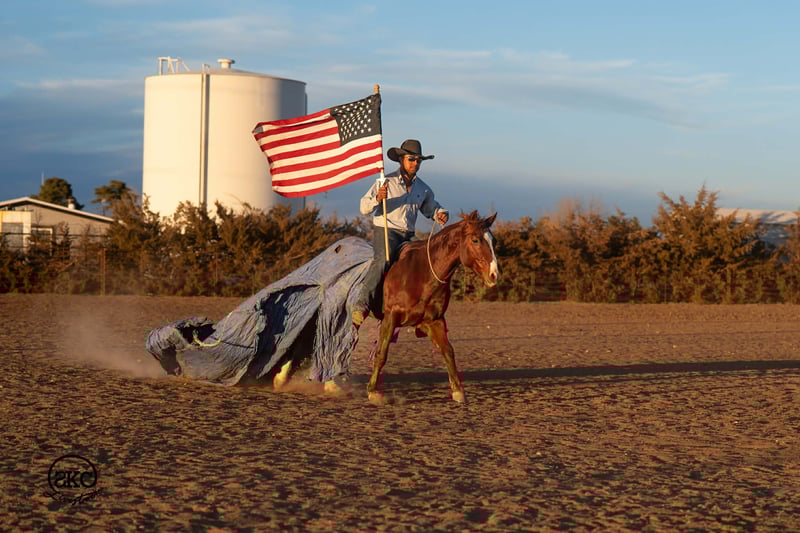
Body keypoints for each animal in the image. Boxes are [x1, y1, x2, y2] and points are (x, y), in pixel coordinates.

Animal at [366, 210, 499, 403]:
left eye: (494, 241)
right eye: (475, 240)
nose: (494, 274)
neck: (422, 273)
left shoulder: (433, 320)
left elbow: (448, 351)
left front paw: (458, 391)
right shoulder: (390, 317)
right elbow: (381, 353)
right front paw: (373, 392)